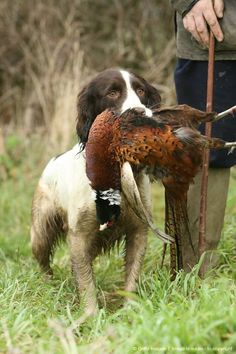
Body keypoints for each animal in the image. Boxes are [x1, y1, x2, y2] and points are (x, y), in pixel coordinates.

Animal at [30, 68, 160, 314]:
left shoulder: (138, 230)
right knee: (43, 262)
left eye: (141, 91)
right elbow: (86, 282)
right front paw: (90, 315)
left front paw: (130, 310)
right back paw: (48, 287)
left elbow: (132, 275)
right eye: (112, 93)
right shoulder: (79, 235)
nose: (139, 112)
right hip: (41, 231)